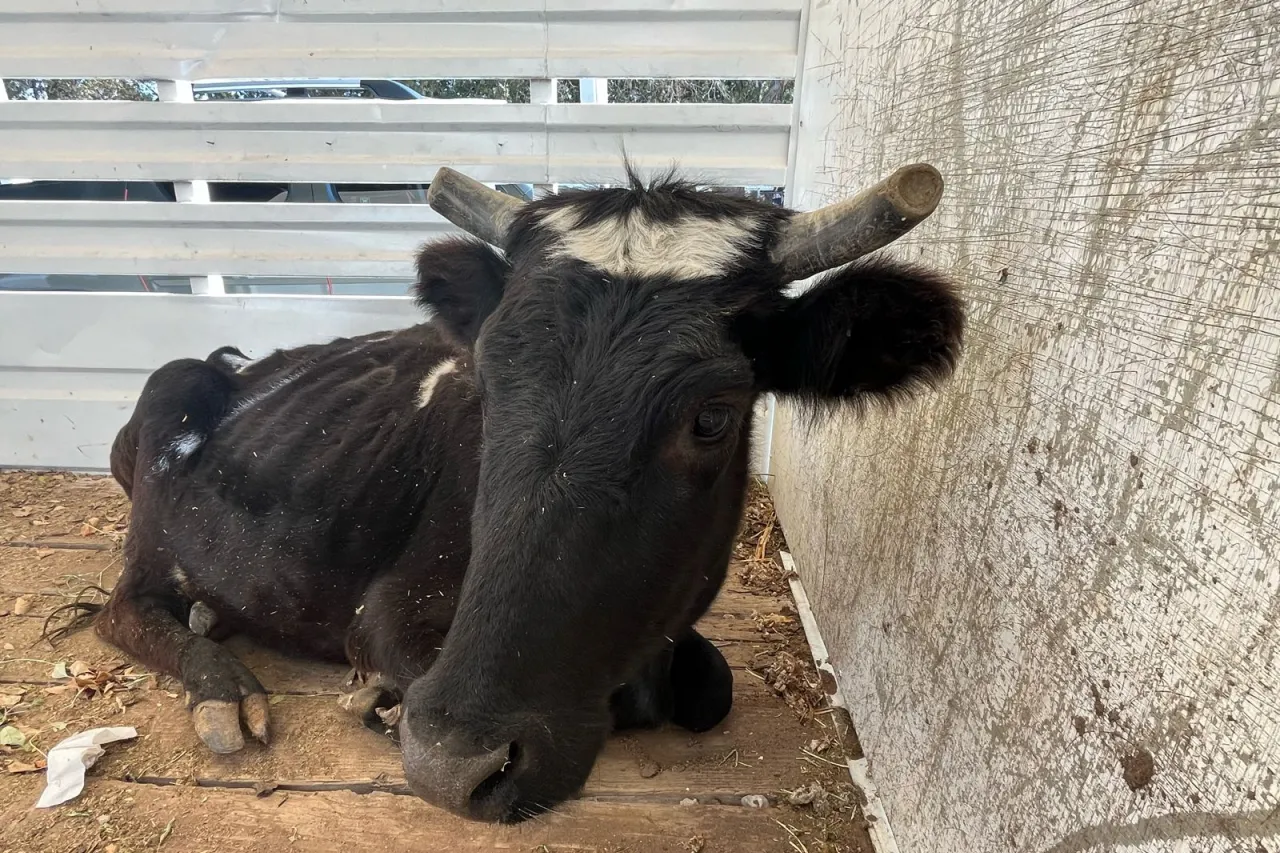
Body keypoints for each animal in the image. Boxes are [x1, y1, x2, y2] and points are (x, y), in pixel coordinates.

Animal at [90, 159, 962, 819]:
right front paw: (379, 704)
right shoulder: (390, 608)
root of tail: (239, 362)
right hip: (161, 464)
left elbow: (711, 686)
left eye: (712, 416)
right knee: (126, 608)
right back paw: (220, 685)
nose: (448, 761)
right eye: (489, 380)